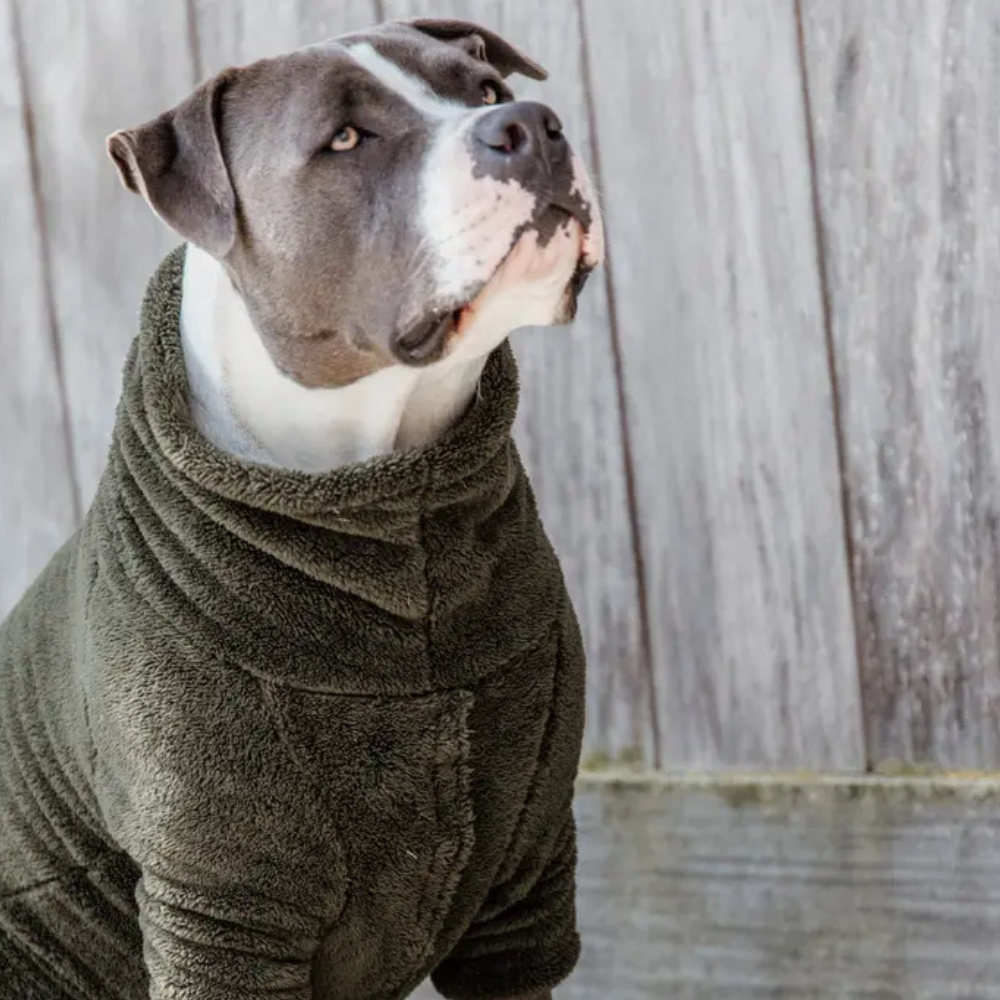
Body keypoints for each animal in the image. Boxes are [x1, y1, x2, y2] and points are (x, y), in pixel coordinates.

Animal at [0, 18, 603, 1000]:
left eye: (483, 90)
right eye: (346, 139)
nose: (530, 126)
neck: (394, 500)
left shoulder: (525, 882)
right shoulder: (222, 914)